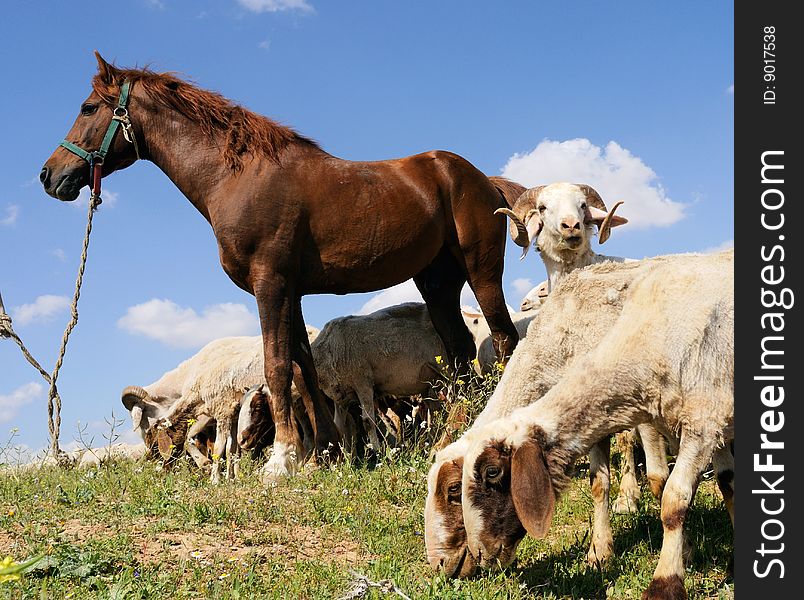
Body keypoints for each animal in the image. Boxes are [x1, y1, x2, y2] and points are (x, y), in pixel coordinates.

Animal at [40, 52, 524, 482]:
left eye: (87, 108)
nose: (48, 175)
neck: (237, 177)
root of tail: (481, 179)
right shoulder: (292, 291)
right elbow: (301, 370)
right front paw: (323, 453)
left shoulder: (269, 284)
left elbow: (276, 367)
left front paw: (282, 459)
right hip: (437, 284)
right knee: (460, 355)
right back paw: (448, 438)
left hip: (482, 273)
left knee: (503, 339)